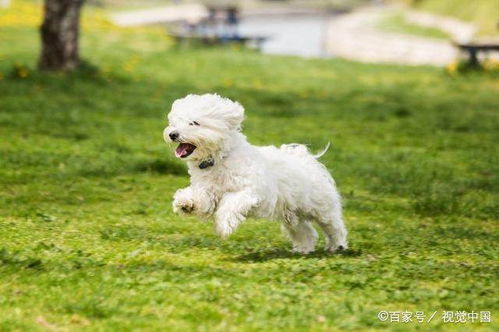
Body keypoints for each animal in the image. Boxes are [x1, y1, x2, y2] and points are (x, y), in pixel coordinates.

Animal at [164, 93, 348, 254]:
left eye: (194, 123)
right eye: (174, 123)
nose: (172, 134)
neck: (220, 159)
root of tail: (306, 160)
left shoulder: (250, 190)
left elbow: (230, 203)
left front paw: (224, 225)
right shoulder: (208, 191)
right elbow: (201, 199)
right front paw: (185, 202)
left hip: (320, 207)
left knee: (334, 226)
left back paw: (337, 246)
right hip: (290, 212)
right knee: (304, 230)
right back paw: (303, 248)